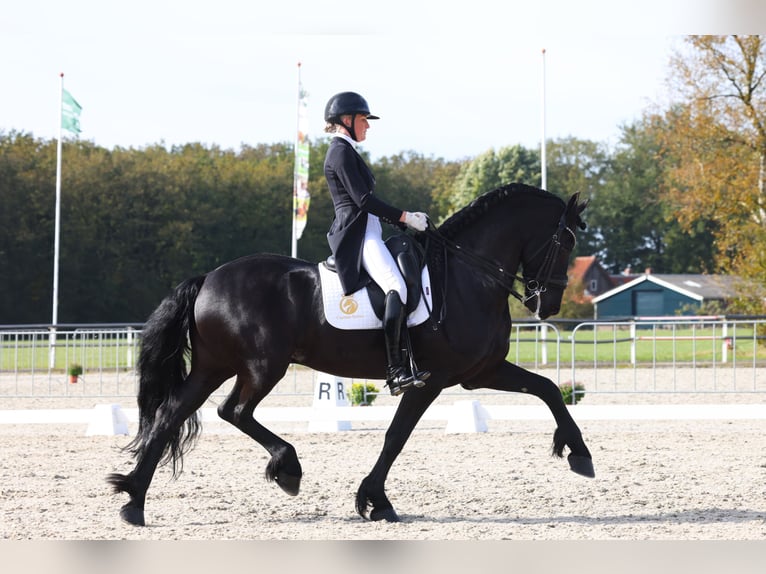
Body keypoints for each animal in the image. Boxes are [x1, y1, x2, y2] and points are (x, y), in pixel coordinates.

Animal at [108, 183, 596, 528]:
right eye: (567, 242)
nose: (547, 304)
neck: (466, 277)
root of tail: (208, 278)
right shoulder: (433, 379)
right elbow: (396, 437)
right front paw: (375, 500)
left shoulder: (482, 371)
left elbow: (548, 389)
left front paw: (579, 454)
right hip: (263, 368)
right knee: (234, 411)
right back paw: (287, 468)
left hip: (216, 366)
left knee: (172, 413)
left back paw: (134, 501)